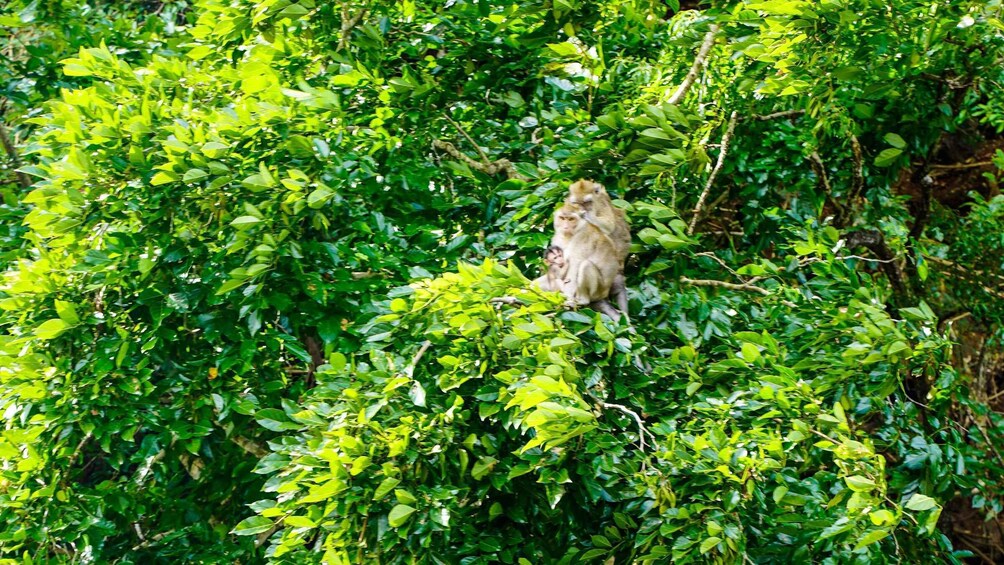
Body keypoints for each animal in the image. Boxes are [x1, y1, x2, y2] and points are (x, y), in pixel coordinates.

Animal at [564, 180, 631, 315]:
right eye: (576, 203)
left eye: (587, 202)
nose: (581, 208)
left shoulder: (602, 204)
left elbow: (609, 226)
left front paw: (585, 215)